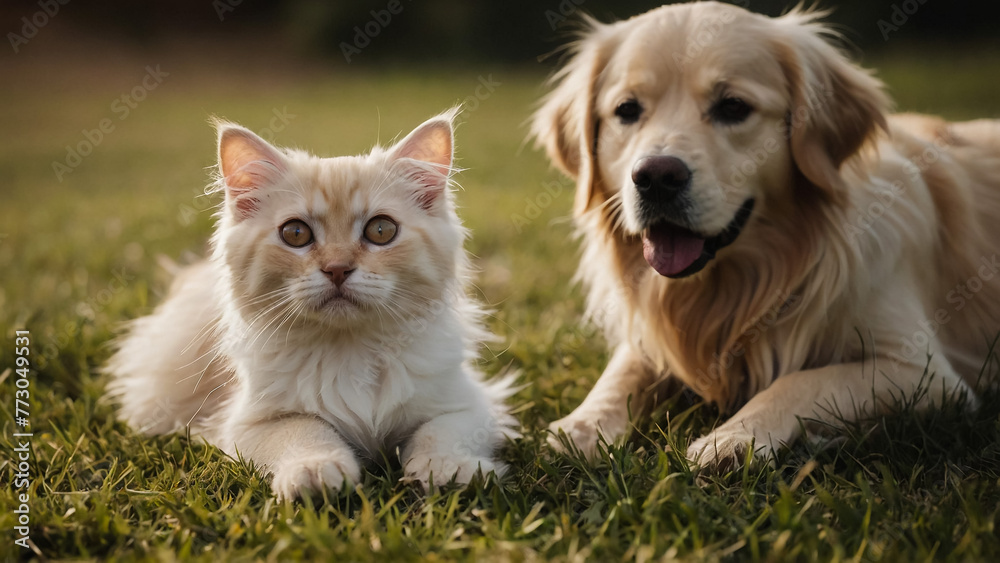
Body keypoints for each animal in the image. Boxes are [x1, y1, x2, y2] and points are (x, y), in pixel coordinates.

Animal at [105, 109, 516, 498]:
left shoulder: (471, 404)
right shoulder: (250, 422)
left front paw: (448, 469)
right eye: (296, 234)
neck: (350, 349)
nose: (337, 269)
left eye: (381, 230)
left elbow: (440, 432)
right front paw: (316, 472)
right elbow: (306, 430)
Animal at [532, 1, 1000, 468]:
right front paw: (581, 426)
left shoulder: (927, 374)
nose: (656, 177)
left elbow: (803, 380)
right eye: (627, 110)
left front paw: (733, 438)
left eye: (733, 106)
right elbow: (622, 372)